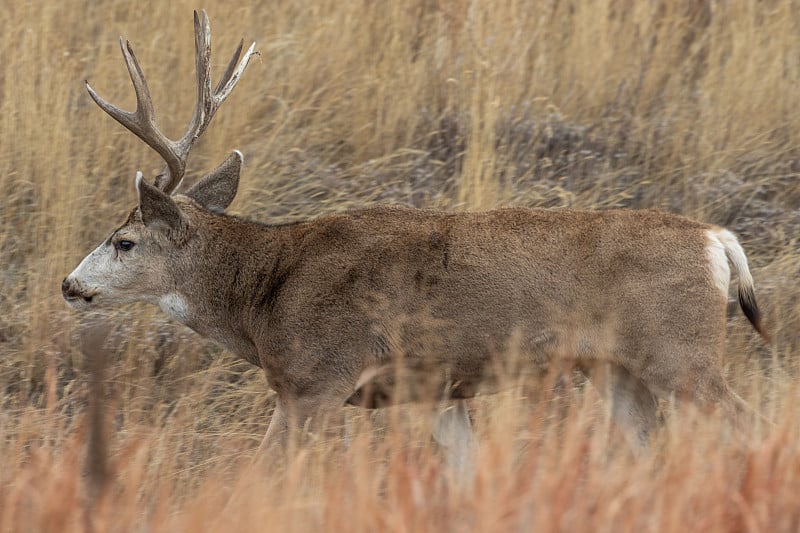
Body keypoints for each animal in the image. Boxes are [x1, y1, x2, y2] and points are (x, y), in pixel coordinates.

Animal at [62, 10, 768, 456]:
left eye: (124, 242)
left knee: (745, 422)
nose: (69, 284)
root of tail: (717, 240)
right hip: (617, 368)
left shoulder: (316, 379)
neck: (265, 293)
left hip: (682, 351)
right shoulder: (439, 392)